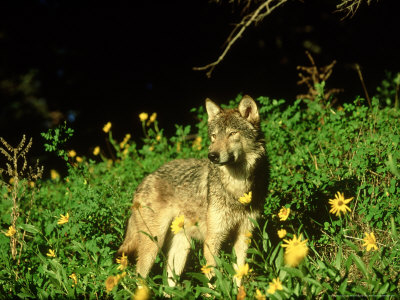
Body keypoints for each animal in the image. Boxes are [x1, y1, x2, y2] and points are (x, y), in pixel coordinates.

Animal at [117, 95, 270, 288]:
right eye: (214, 136)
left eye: (232, 134)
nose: (212, 156)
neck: (237, 189)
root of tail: (145, 180)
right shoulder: (213, 240)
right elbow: (213, 279)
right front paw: (217, 292)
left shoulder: (244, 235)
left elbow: (238, 274)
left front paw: (238, 292)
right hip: (153, 245)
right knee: (139, 278)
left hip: (180, 250)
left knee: (170, 285)